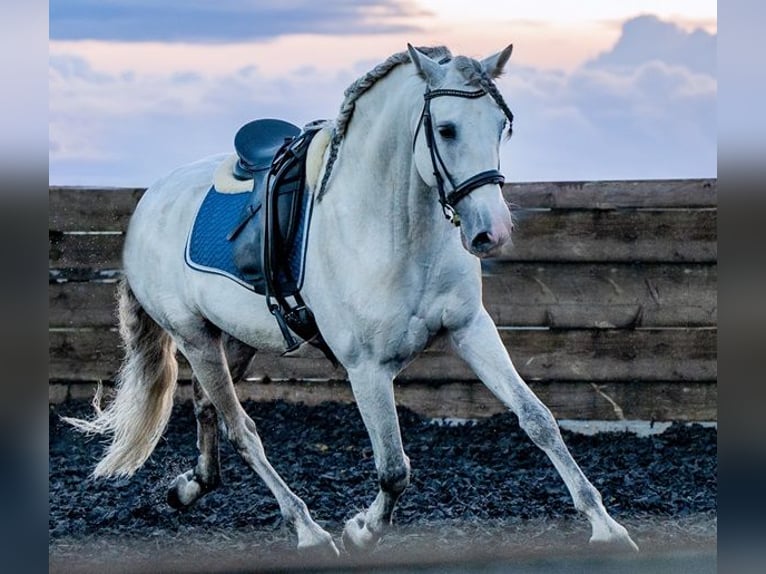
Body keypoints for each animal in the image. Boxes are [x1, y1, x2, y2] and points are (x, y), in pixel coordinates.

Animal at [67, 46, 640, 560]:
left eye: (502, 126)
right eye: (446, 129)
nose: (491, 233)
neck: (392, 227)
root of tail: (148, 203)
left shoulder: (471, 329)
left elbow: (537, 418)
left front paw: (606, 527)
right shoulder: (367, 369)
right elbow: (394, 467)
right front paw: (361, 531)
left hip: (236, 337)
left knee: (208, 408)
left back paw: (191, 486)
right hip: (195, 339)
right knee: (241, 428)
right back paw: (307, 529)